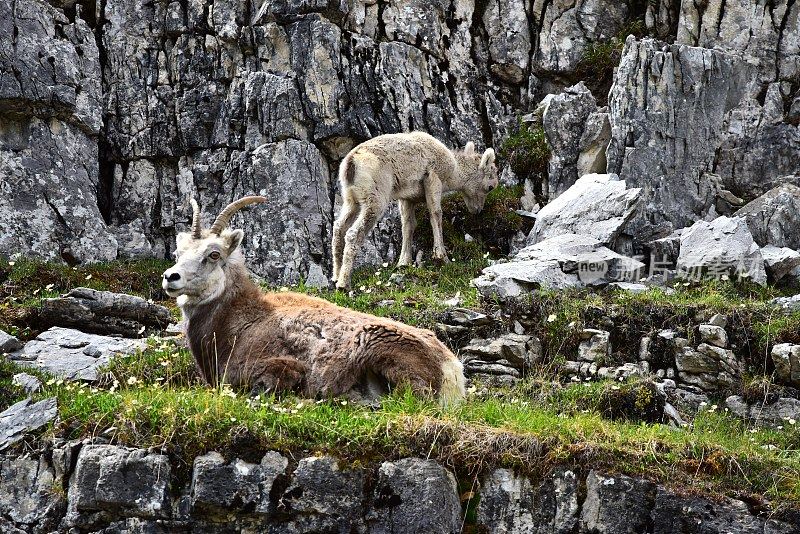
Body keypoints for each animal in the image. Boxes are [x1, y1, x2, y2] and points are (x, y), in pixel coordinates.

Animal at [161, 197, 462, 406]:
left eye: (213, 254)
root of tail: (451, 370)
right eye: (179, 252)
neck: (241, 321)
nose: (170, 277)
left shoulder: (277, 367)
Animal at [330, 132, 494, 292]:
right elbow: (436, 215)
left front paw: (403, 263)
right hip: (374, 202)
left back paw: (336, 277)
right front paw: (442, 257)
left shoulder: (407, 199)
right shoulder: (433, 179)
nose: (478, 210)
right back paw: (344, 284)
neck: (453, 171)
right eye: (490, 187)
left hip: (352, 202)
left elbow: (408, 226)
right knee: (353, 233)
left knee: (338, 227)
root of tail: (351, 163)